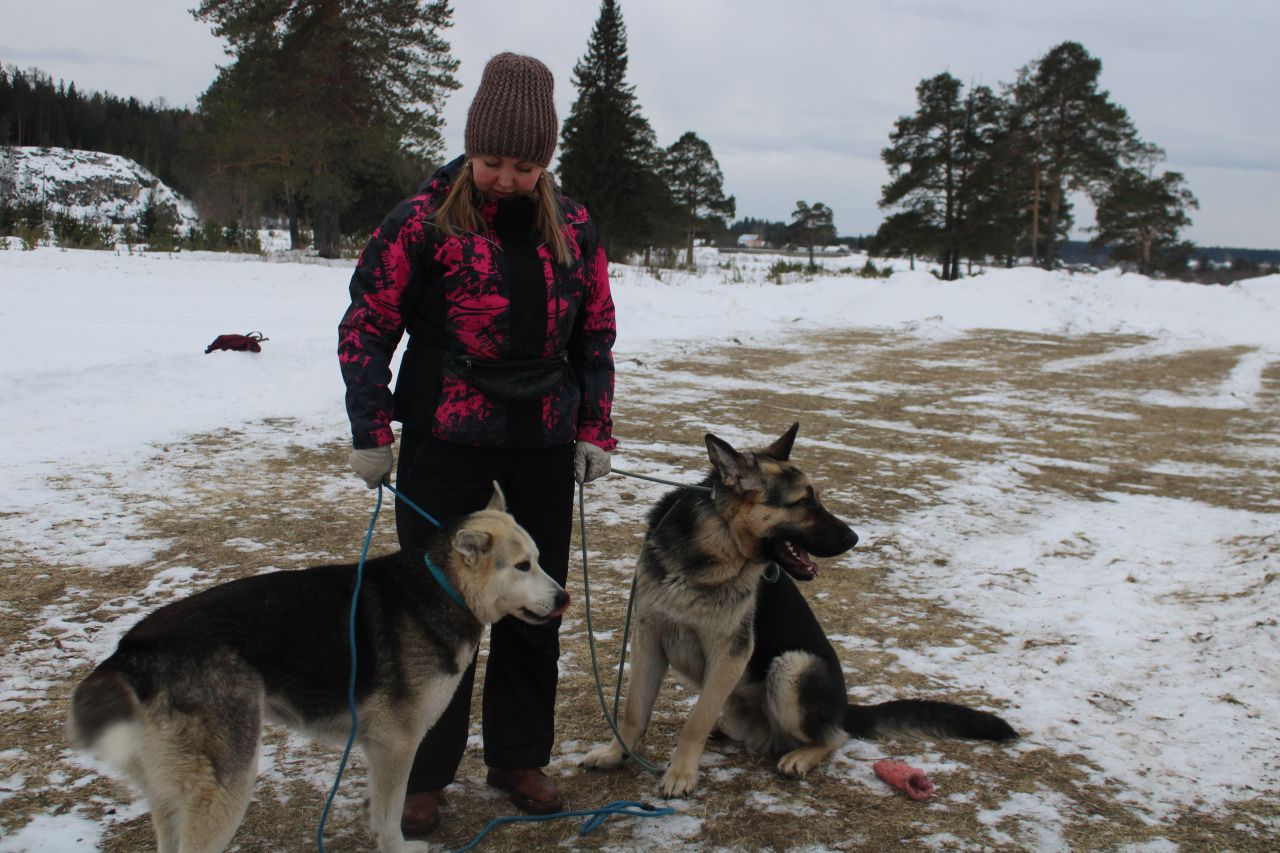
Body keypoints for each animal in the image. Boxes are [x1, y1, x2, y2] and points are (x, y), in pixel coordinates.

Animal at [67, 484, 568, 850]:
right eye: (522, 566)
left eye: (540, 560)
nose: (563, 597)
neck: (444, 587)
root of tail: (134, 646)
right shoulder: (397, 745)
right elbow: (391, 816)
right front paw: (399, 847)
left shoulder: (376, 747)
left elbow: (381, 810)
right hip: (226, 788)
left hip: (171, 796)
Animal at [586, 425, 1013, 799]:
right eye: (803, 502)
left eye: (816, 498)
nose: (855, 538)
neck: (711, 547)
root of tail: (842, 710)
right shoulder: (648, 639)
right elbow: (633, 711)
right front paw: (617, 753)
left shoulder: (729, 654)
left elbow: (696, 721)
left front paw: (680, 774)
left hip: (792, 667)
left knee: (835, 737)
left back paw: (801, 756)